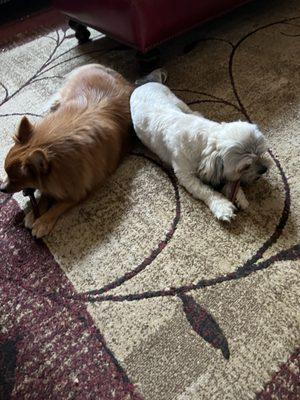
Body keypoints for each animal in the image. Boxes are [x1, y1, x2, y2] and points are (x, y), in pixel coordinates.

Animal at [0, 63, 134, 236]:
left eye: (15, 179)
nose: (1, 188)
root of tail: (102, 67)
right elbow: (45, 195)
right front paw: (34, 214)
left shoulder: (81, 190)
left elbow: (60, 205)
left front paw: (43, 221)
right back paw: (53, 105)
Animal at [130, 81, 270, 222]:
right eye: (245, 166)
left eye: (261, 153)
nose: (264, 169)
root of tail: (142, 84)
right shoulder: (185, 176)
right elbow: (205, 190)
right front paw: (222, 206)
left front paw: (239, 196)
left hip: (177, 101)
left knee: (191, 111)